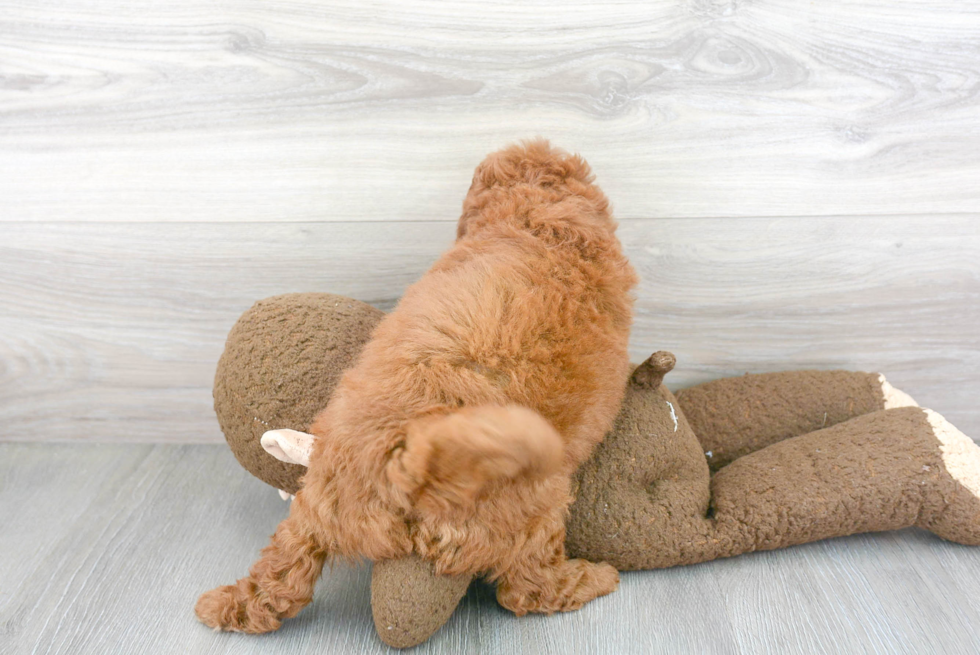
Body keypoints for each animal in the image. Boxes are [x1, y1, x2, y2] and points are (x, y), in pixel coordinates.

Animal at [195, 141, 640, 632]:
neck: (535, 217)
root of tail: (399, 466)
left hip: (312, 514)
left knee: (279, 577)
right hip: (533, 508)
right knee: (527, 589)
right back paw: (594, 578)